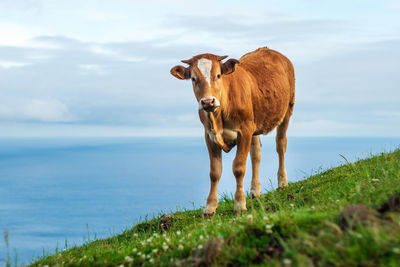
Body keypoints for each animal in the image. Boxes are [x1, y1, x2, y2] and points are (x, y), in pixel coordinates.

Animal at [170, 47, 296, 217]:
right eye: (193, 79)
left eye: (218, 75)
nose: (208, 101)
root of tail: (269, 49)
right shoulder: (209, 136)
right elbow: (215, 172)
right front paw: (210, 207)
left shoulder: (245, 130)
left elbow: (239, 168)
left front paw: (239, 205)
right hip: (254, 124)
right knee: (256, 154)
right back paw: (255, 191)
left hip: (287, 109)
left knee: (281, 145)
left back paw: (282, 182)